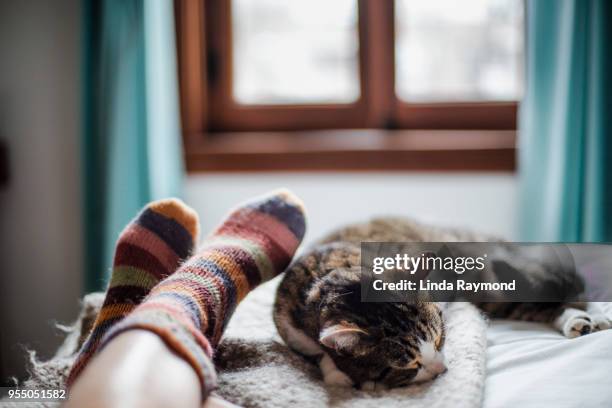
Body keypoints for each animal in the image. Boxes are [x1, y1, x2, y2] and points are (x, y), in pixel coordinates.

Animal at [272, 218, 612, 390]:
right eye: (410, 365)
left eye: (439, 339)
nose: (442, 369)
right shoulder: (288, 324)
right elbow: (317, 351)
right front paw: (336, 372)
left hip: (490, 277)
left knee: (558, 292)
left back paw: (587, 318)